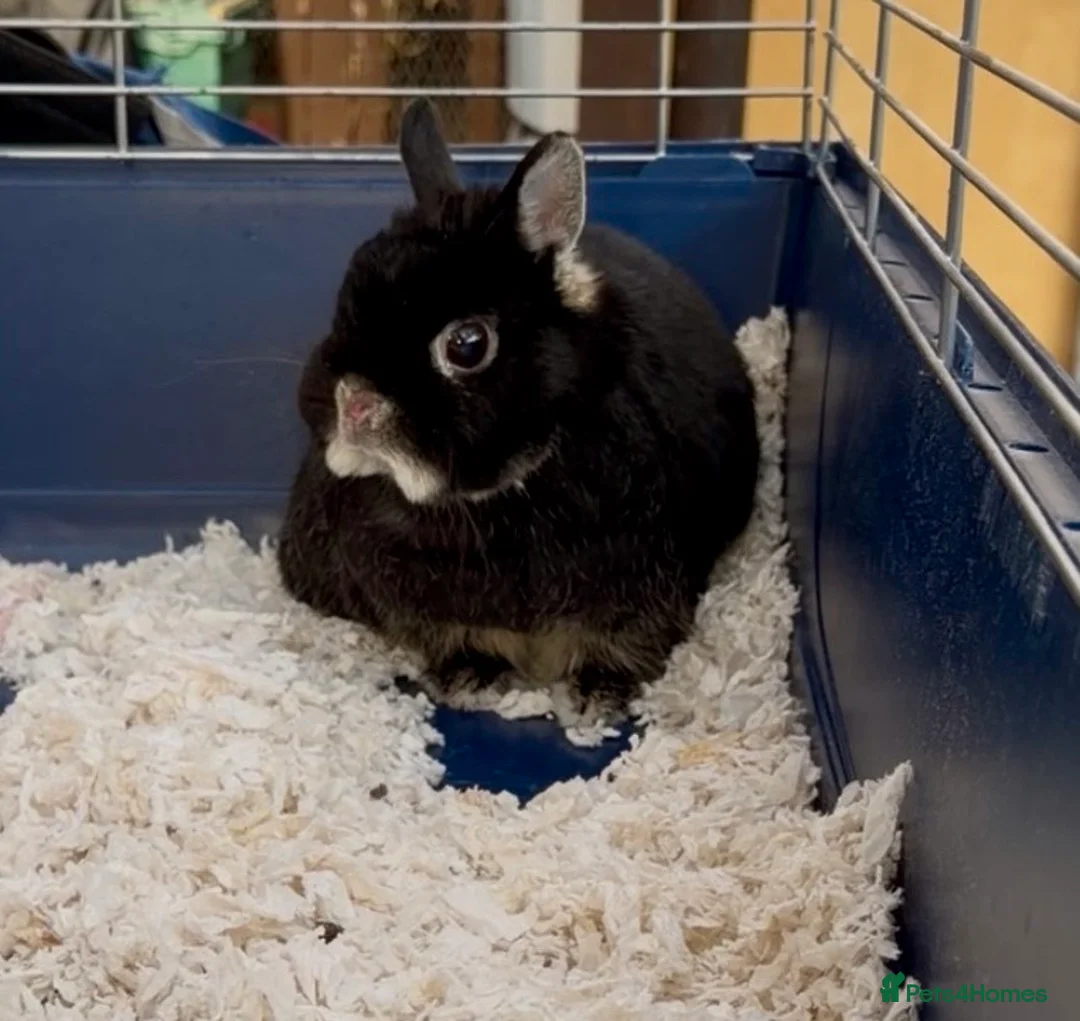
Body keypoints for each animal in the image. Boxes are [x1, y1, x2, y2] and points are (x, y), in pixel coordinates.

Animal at [276, 97, 760, 715]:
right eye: (345, 301)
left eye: (466, 344)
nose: (353, 404)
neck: (497, 498)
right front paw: (468, 677)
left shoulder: (646, 590)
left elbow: (624, 642)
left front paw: (599, 695)